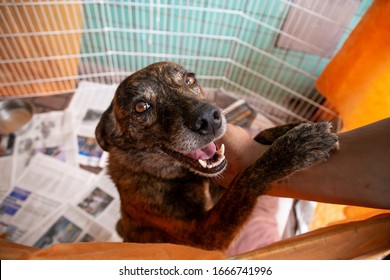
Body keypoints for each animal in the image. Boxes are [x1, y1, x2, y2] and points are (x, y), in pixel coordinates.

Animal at [95, 61, 338, 252]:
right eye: (140, 107)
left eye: (190, 80)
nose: (209, 119)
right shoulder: (204, 236)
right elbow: (245, 180)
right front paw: (292, 150)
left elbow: (257, 137)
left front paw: (289, 128)